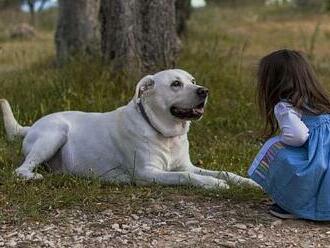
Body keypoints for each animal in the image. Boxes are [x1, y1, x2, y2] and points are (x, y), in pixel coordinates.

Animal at [0, 69, 258, 189]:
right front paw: (213, 184)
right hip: (55, 133)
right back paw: (33, 176)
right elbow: (186, 177)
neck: (165, 133)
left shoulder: (186, 165)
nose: (204, 91)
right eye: (176, 84)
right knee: (20, 169)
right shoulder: (148, 173)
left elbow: (224, 172)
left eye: (193, 81)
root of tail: (31, 126)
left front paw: (247, 182)